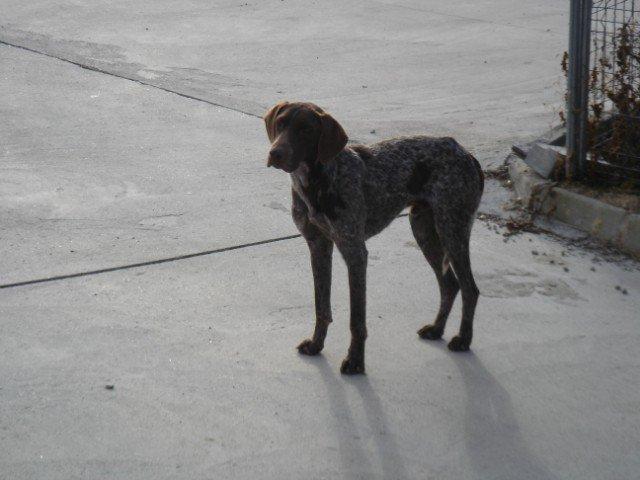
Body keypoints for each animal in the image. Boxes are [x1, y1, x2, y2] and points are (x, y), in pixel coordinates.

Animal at [264, 101, 480, 376]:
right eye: (281, 123)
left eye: (306, 130)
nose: (276, 153)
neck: (318, 181)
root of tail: (466, 153)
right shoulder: (318, 246)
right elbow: (321, 307)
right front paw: (316, 345)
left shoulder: (355, 252)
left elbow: (356, 319)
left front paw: (356, 361)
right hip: (423, 229)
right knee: (450, 284)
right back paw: (436, 329)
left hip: (452, 229)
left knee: (469, 288)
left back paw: (463, 339)